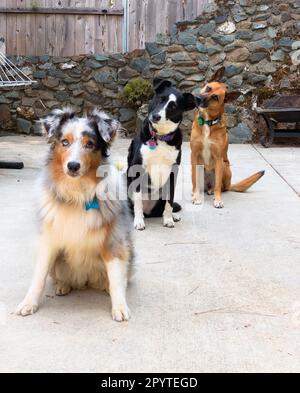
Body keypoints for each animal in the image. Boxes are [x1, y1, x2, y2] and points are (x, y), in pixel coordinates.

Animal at [127, 77, 196, 230]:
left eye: (173, 106)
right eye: (160, 98)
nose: (156, 116)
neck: (160, 137)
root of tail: (149, 212)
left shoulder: (172, 172)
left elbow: (169, 201)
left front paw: (169, 219)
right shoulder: (138, 169)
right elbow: (138, 200)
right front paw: (138, 221)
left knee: (162, 208)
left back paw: (173, 216)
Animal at [191, 68, 264, 208]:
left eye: (215, 97)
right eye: (208, 88)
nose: (198, 99)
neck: (208, 122)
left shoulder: (219, 158)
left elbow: (218, 186)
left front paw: (218, 200)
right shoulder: (194, 155)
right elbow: (194, 181)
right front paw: (195, 197)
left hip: (224, 166)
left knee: (220, 187)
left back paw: (213, 192)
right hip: (201, 167)